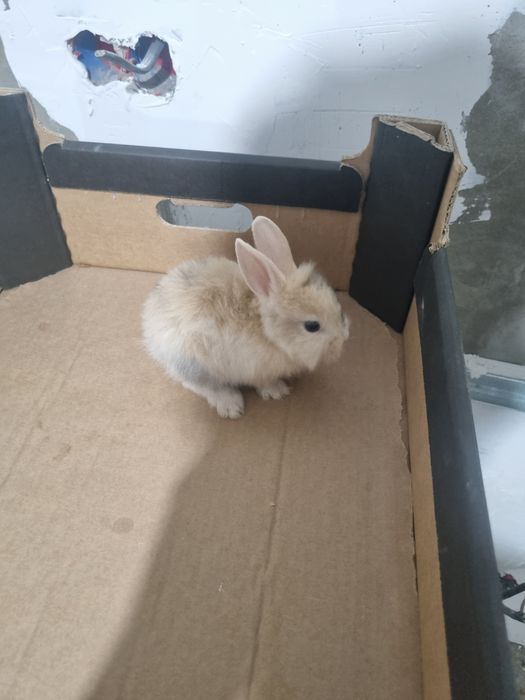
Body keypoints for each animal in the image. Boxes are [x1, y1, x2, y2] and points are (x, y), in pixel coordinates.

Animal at [142, 215, 350, 418]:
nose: (343, 339)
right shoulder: (255, 369)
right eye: (312, 326)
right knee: (198, 385)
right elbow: (263, 382)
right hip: (196, 363)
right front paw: (277, 391)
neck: (266, 330)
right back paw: (230, 405)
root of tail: (149, 324)